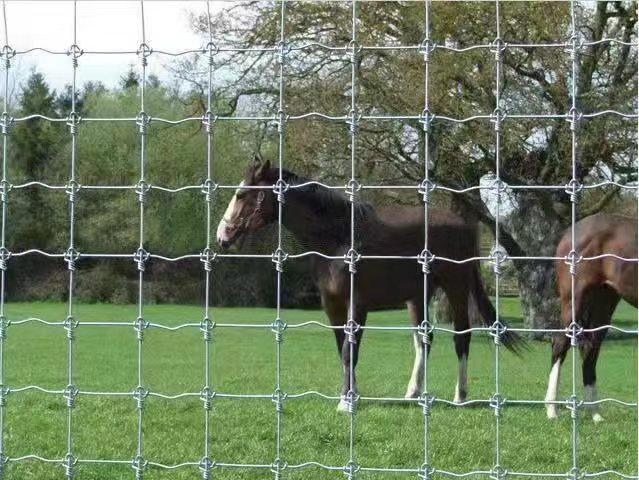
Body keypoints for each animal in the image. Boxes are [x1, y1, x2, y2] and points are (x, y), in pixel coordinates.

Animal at [220, 159, 524, 410]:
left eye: (241, 195)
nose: (222, 236)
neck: (340, 238)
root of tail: (463, 226)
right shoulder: (332, 306)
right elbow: (342, 349)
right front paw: (350, 394)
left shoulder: (357, 305)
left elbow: (349, 351)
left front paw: (346, 402)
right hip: (418, 297)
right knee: (424, 340)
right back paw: (413, 392)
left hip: (456, 288)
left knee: (461, 336)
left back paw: (460, 395)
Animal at [544, 212, 639, 422]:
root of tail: (571, 232)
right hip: (574, 299)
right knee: (561, 342)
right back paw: (552, 410)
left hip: (604, 301)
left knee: (590, 348)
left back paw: (595, 413)